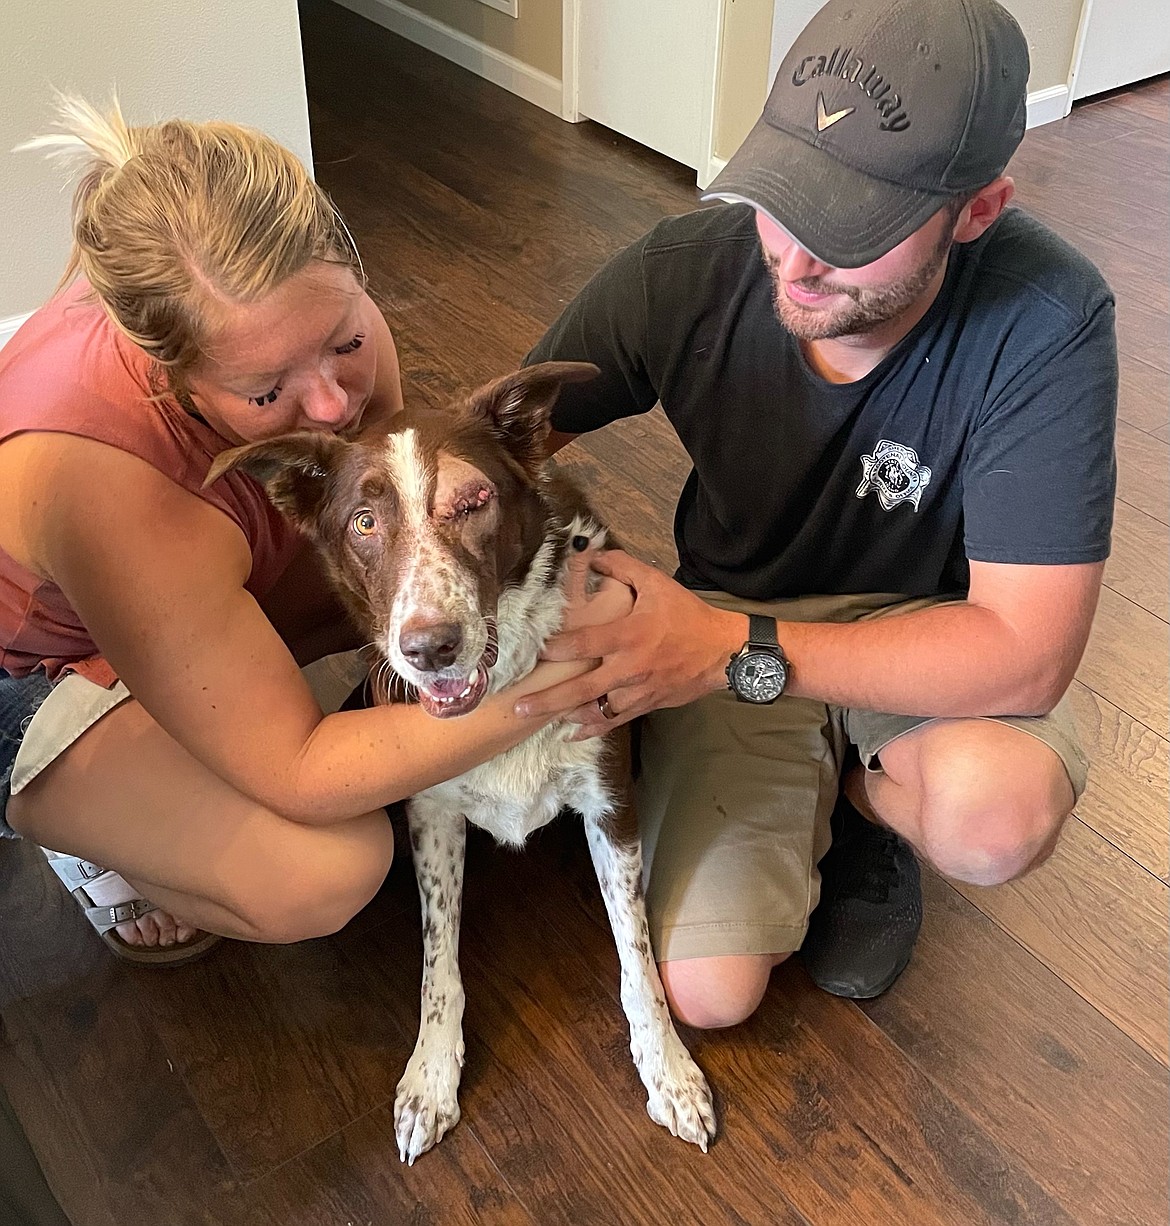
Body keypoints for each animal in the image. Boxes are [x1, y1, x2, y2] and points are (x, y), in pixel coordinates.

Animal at [213, 360, 716, 1157]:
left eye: (473, 500)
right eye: (363, 523)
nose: (429, 649)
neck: (505, 690)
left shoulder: (610, 803)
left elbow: (636, 953)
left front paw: (668, 1068)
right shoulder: (431, 816)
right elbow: (436, 960)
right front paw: (429, 1077)